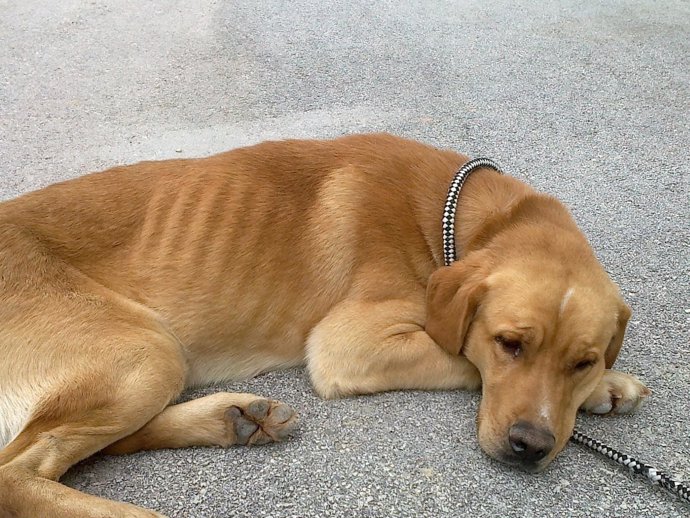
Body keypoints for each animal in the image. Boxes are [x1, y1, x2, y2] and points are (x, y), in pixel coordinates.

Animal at [0, 135, 648, 518]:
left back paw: (231, 418)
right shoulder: (347, 347)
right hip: (144, 351)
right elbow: (462, 355)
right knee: (15, 473)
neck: (455, 212)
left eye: (582, 360)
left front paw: (605, 386)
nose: (530, 447)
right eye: (509, 344)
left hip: (154, 360)